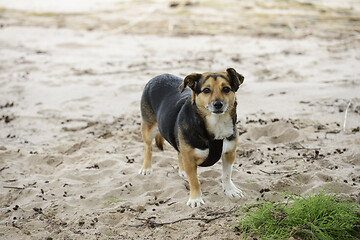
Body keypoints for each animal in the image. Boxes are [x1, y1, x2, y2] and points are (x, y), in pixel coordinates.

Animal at [138, 68, 245, 208]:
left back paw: (182, 170)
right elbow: (194, 181)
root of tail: (159, 76)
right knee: (148, 147)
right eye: (206, 90)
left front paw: (230, 190)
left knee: (178, 152)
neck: (216, 124)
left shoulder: (229, 153)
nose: (218, 104)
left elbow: (227, 175)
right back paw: (146, 168)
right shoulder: (189, 159)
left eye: (226, 89)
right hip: (148, 128)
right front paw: (195, 199)